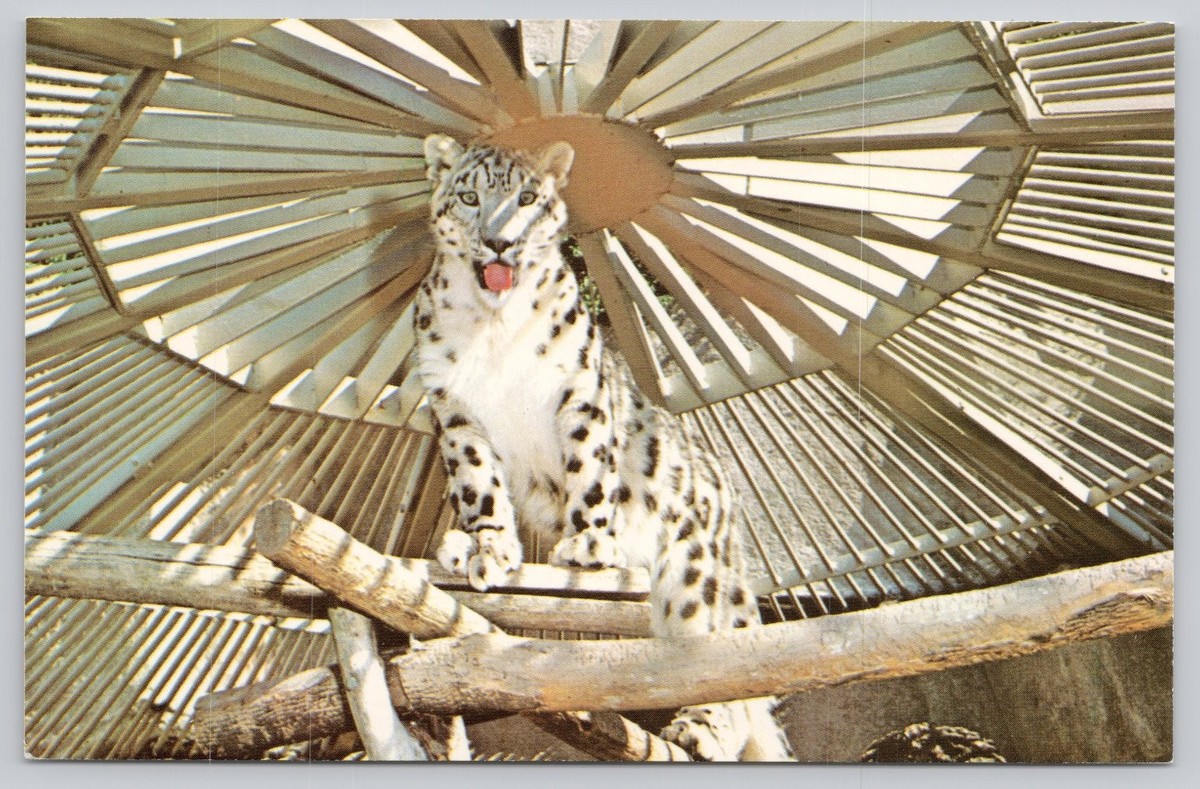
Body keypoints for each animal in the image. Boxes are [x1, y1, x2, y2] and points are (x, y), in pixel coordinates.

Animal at [412, 133, 794, 761]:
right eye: (469, 196)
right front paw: (484, 547)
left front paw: (589, 544)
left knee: (718, 660)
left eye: (526, 198)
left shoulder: (579, 394)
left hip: (695, 570)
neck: (493, 325)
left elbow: (590, 467)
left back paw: (702, 726)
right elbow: (478, 484)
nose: (499, 241)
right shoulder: (456, 410)